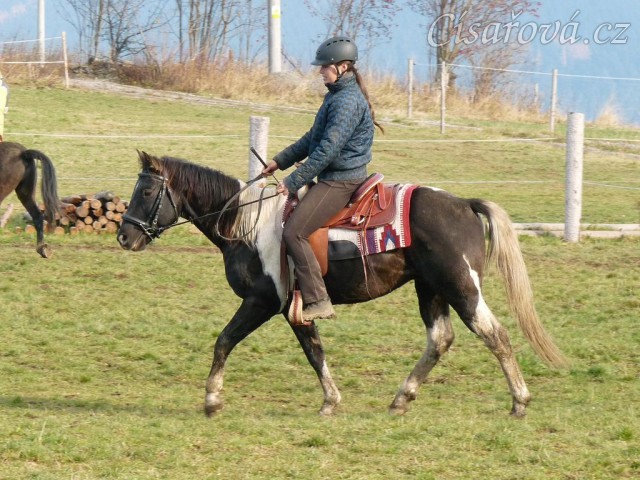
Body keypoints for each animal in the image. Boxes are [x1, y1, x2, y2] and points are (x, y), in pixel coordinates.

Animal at [117, 151, 567, 418]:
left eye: (146, 191)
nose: (124, 236)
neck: (247, 226)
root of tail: (464, 205)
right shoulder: (292, 309)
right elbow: (314, 351)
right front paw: (331, 400)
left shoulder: (263, 302)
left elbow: (226, 341)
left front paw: (212, 400)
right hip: (430, 289)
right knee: (440, 340)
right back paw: (401, 398)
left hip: (462, 288)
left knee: (496, 335)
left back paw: (520, 401)